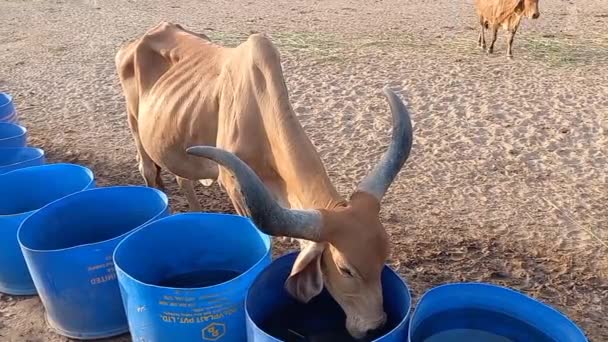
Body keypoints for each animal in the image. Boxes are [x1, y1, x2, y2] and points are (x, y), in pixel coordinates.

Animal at [115, 22, 414, 340]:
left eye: (384, 256)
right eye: (346, 270)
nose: (375, 326)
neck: (258, 114)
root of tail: (138, 40)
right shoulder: (235, 189)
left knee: (184, 180)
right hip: (138, 131)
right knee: (148, 171)